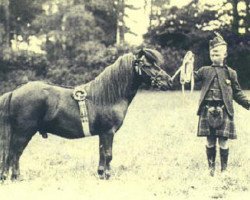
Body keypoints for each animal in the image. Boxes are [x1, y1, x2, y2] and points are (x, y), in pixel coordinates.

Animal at [0, 48, 172, 180]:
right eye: (147, 65)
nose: (168, 81)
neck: (107, 96)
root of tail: (14, 92)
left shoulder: (103, 134)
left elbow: (102, 153)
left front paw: (101, 173)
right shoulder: (108, 132)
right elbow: (108, 154)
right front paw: (107, 176)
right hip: (23, 132)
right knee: (15, 153)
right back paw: (16, 177)